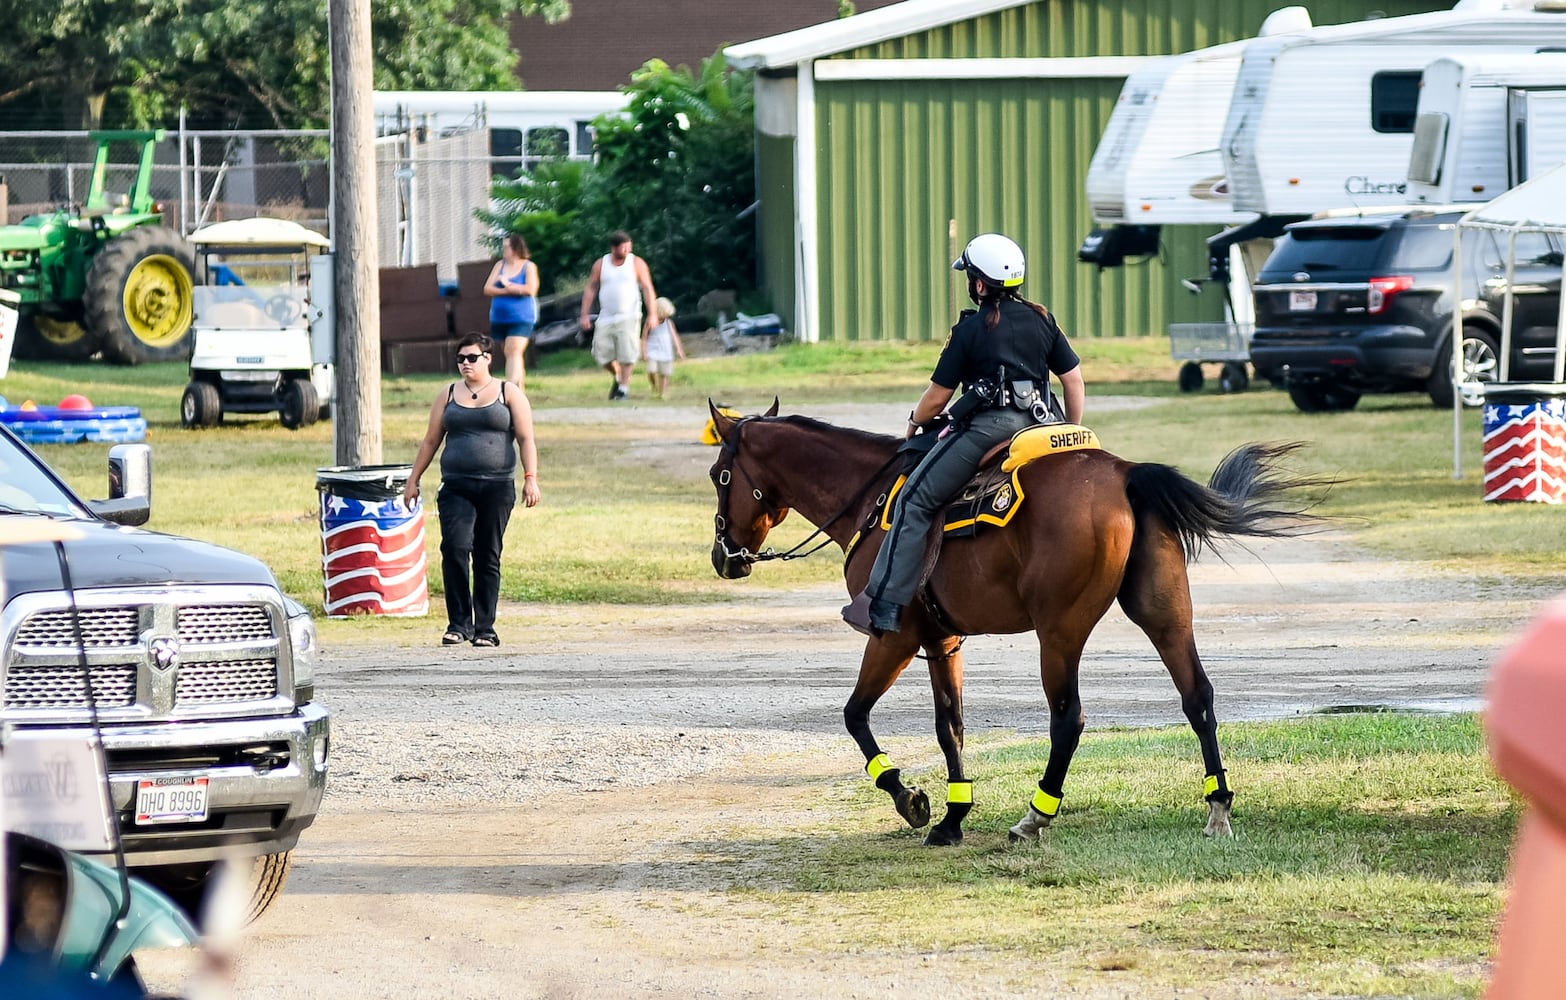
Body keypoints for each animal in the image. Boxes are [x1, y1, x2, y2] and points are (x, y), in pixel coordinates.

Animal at [710, 399, 1321, 845]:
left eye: (720, 475)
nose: (723, 558)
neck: (872, 497)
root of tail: (1124, 474)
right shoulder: (944, 640)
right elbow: (950, 725)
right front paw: (953, 818)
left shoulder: (894, 636)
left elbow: (855, 715)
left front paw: (908, 797)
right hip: (1166, 615)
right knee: (1198, 697)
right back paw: (1217, 805)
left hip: (1059, 632)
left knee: (1068, 719)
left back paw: (1037, 814)